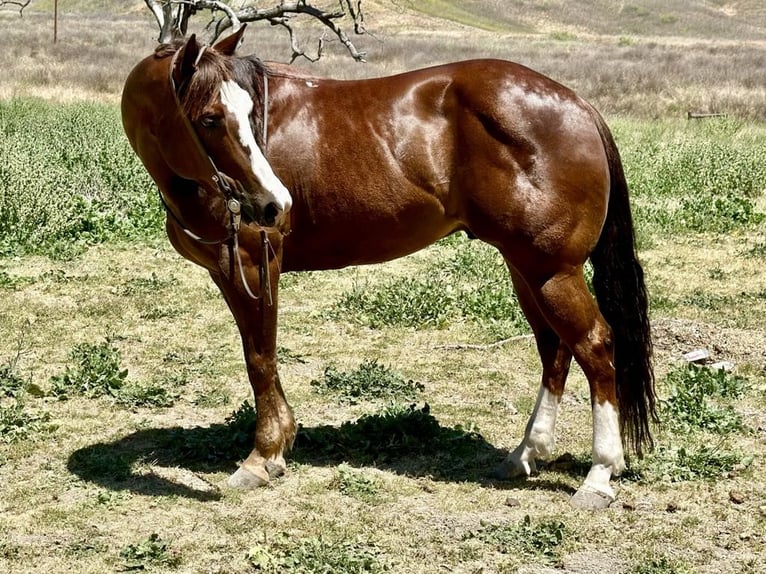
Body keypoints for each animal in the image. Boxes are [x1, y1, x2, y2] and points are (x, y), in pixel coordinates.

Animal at [123, 25, 656, 512]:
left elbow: (260, 358)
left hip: (551, 270)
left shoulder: (255, 267)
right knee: (555, 350)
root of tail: (579, 105)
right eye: (210, 118)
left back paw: (599, 475)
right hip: (526, 266)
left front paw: (261, 457)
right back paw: (526, 453)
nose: (276, 205)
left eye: (247, 112)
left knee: (594, 346)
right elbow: (261, 356)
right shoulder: (228, 270)